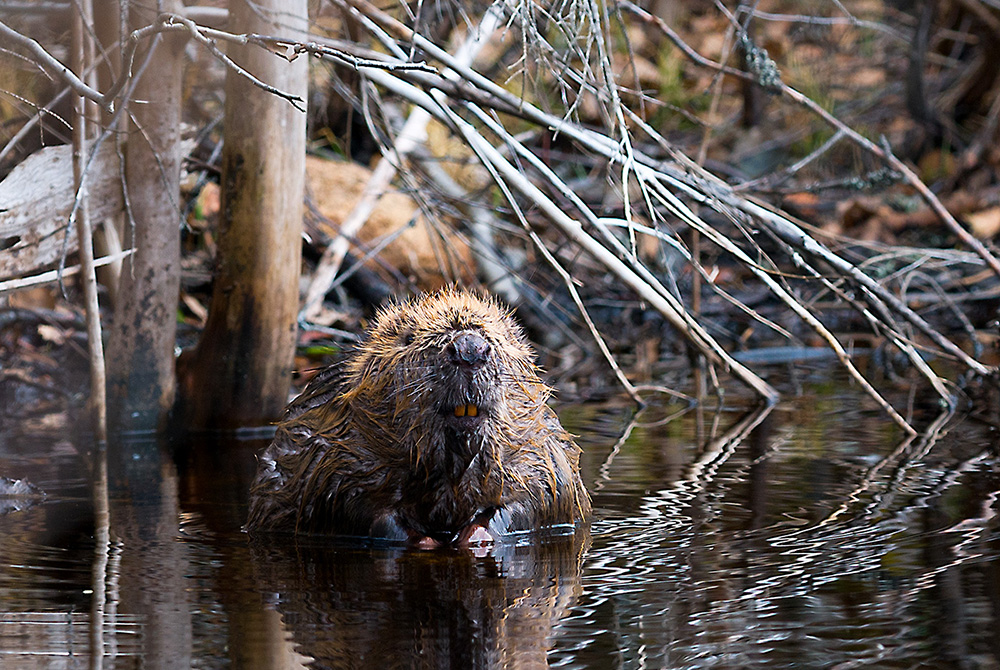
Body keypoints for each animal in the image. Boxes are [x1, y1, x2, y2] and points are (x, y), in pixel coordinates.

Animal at [247, 288, 588, 544]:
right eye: (409, 338)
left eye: (499, 337)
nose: (470, 349)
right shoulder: (332, 446)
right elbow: (344, 499)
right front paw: (423, 539)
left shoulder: (541, 451)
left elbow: (541, 498)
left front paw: (476, 535)